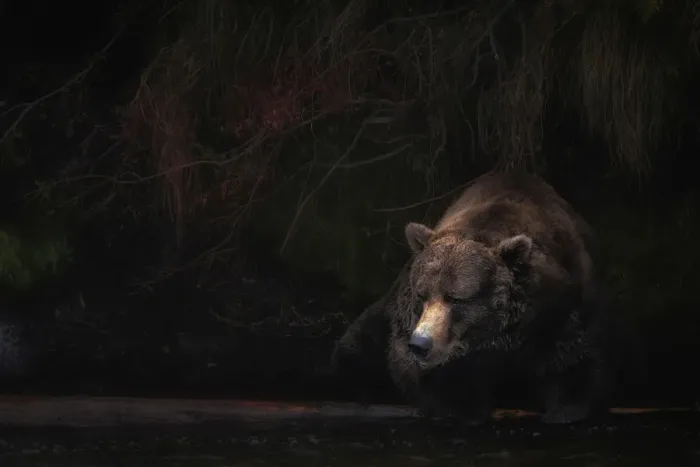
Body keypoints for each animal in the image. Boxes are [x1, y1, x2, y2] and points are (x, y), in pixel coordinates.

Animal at [331, 171, 618, 425]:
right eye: (422, 295)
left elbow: (575, 358)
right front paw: (465, 406)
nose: (421, 343)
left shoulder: (564, 308)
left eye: (455, 298)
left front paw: (566, 409)